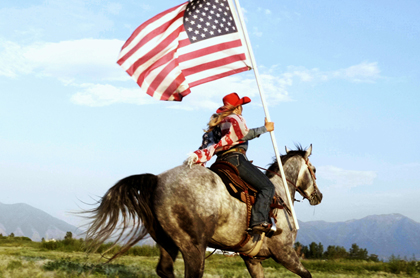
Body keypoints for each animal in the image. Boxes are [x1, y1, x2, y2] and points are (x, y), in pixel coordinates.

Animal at [84, 144, 322, 276]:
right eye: (314, 169)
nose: (318, 196)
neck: (280, 193)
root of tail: (158, 180)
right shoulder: (284, 253)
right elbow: (307, 275)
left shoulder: (252, 259)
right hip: (194, 247)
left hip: (167, 242)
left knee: (165, 270)